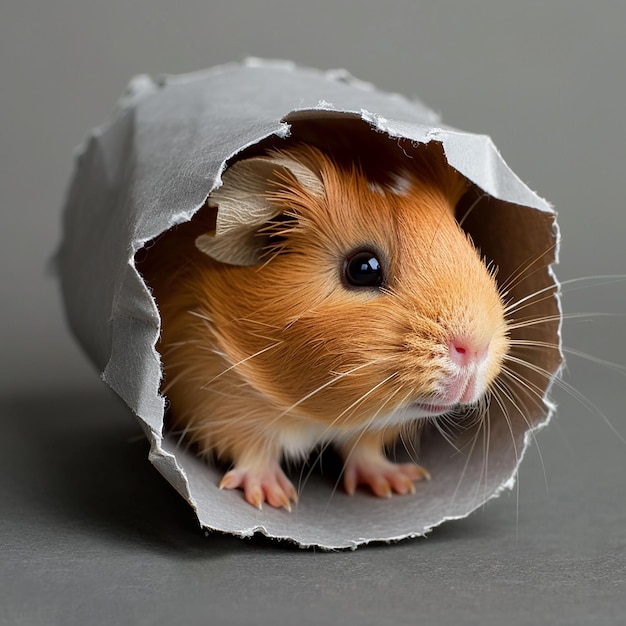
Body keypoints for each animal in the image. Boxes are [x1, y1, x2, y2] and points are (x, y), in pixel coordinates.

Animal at [141, 140, 508, 508]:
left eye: (466, 243)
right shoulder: (216, 396)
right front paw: (274, 499)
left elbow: (364, 450)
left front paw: (398, 484)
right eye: (363, 268)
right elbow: (254, 451)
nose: (475, 348)